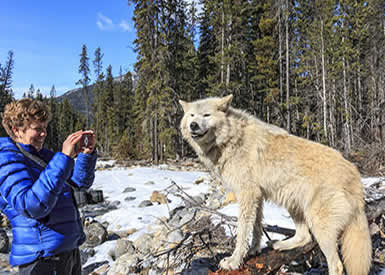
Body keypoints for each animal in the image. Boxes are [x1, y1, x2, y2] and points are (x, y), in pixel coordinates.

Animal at [180, 95, 372, 275]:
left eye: (206, 115)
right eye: (192, 115)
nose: (193, 125)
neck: (231, 138)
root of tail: (355, 174)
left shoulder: (247, 194)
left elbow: (242, 231)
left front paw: (233, 261)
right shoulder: (257, 196)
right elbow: (256, 227)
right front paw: (254, 250)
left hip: (318, 223)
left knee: (336, 264)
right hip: (294, 204)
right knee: (305, 237)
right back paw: (279, 245)